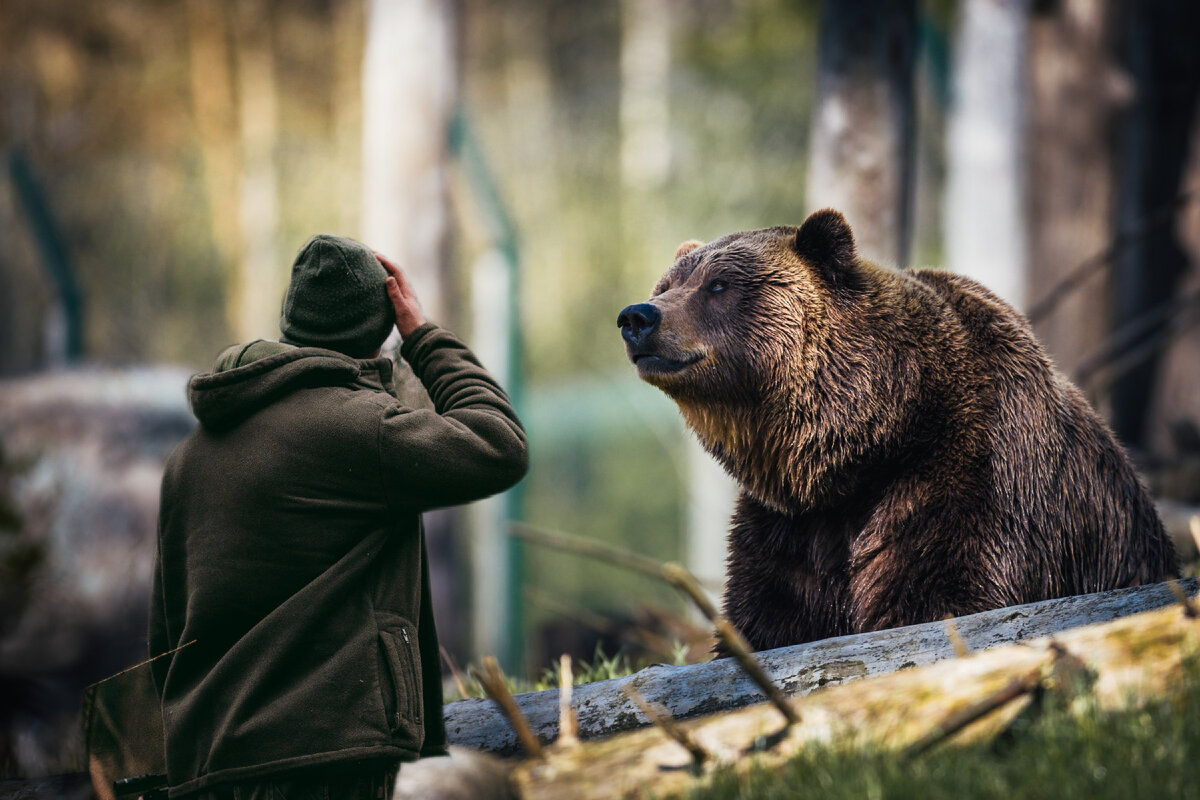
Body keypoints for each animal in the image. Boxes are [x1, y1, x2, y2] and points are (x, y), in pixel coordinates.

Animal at [619, 211, 1180, 652]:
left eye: (719, 285)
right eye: (666, 286)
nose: (637, 316)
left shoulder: (969, 476)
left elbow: (940, 595)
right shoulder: (790, 526)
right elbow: (770, 616)